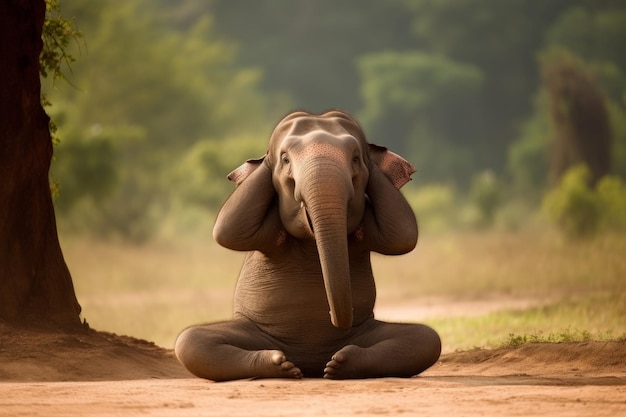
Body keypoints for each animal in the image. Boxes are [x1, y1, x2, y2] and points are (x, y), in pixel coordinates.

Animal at [173, 108, 442, 380]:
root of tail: (311, 363)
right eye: (285, 159)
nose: (333, 315)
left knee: (425, 337)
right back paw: (283, 365)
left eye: (356, 159)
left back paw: (339, 364)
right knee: (191, 339)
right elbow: (229, 230)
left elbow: (401, 236)